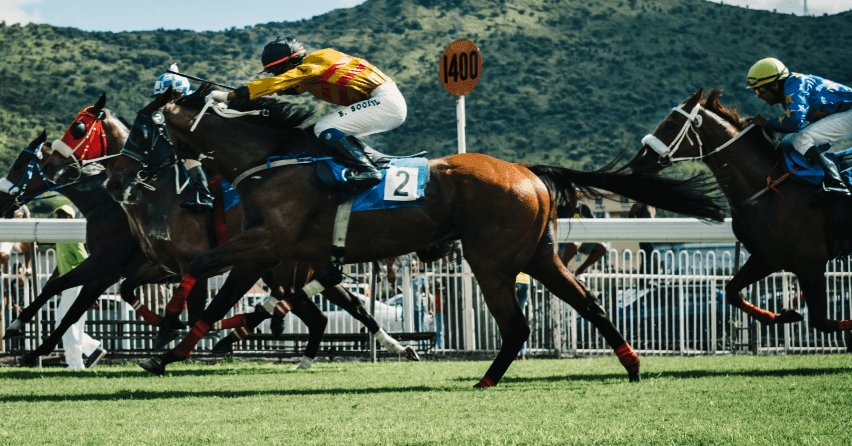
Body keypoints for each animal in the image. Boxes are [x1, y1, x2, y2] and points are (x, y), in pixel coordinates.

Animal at [41, 94, 422, 362]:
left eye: (77, 128)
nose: (115, 183)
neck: (159, 192)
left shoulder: (163, 263)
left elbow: (192, 307)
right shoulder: (154, 265)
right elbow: (126, 292)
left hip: (283, 264)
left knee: (330, 307)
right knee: (336, 307)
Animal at [110, 85, 724, 386]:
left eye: (143, 126)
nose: (126, 174)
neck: (271, 158)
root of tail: (528, 172)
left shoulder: (265, 246)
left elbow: (201, 276)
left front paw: (164, 332)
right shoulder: (274, 255)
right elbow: (220, 300)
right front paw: (166, 352)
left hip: (491, 259)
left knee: (518, 324)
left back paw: (487, 380)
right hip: (539, 255)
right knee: (588, 303)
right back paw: (631, 364)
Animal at [628, 89, 852, 342]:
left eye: (670, 124)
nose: (638, 161)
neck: (769, 188)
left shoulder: (810, 263)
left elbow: (823, 322)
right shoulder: (767, 258)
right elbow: (731, 292)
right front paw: (782, 315)